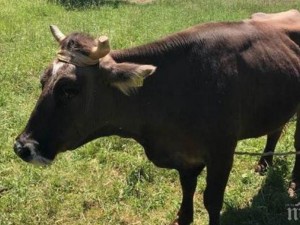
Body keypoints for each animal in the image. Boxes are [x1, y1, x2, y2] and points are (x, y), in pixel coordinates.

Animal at [14, 10, 300, 225]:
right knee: (276, 128)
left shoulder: (222, 152)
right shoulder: (185, 156)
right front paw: (182, 218)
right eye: (42, 81)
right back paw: (264, 164)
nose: (22, 147)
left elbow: (211, 200)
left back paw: (294, 184)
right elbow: (188, 188)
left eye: (69, 90)